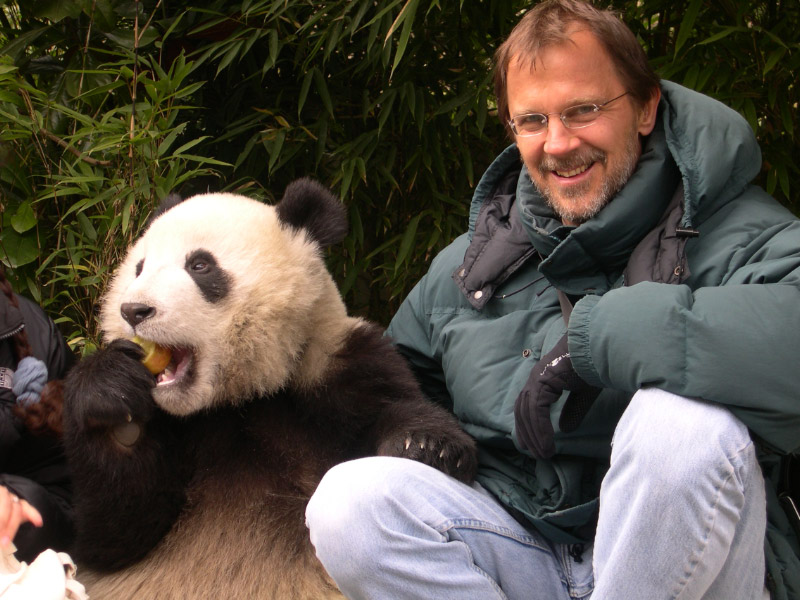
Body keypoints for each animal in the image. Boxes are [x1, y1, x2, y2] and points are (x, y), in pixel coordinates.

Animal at [62, 178, 478, 600]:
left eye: (200, 265)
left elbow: (388, 406)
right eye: (139, 268)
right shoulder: (173, 429)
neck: (241, 396)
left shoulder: (335, 368)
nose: (134, 311)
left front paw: (424, 444)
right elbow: (116, 536)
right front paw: (114, 400)